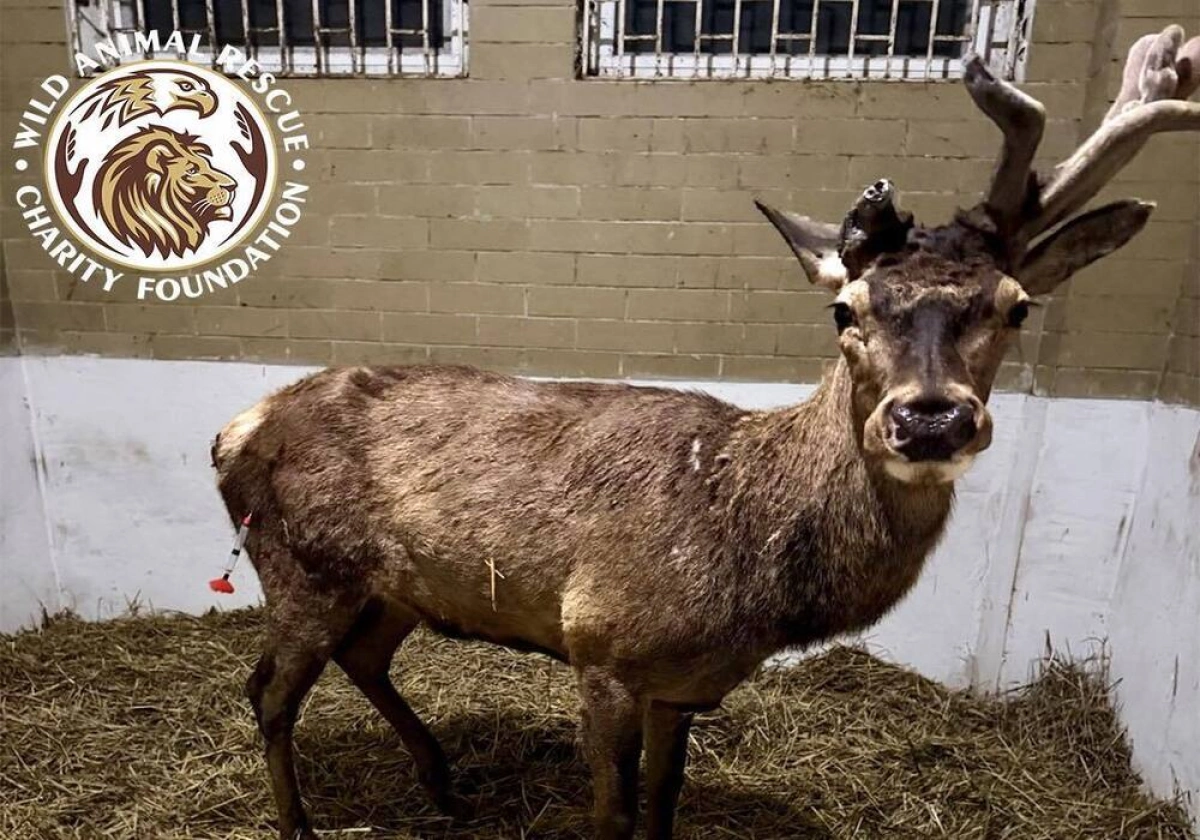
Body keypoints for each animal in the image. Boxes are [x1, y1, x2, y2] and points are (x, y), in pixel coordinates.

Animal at [212, 26, 1200, 840]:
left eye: (1017, 305)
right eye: (843, 308)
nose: (931, 417)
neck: (755, 578)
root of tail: (233, 430)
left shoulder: (684, 686)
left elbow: (665, 801)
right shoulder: (602, 646)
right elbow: (612, 817)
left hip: (392, 589)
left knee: (361, 660)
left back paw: (445, 783)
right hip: (305, 566)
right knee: (268, 690)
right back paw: (300, 824)